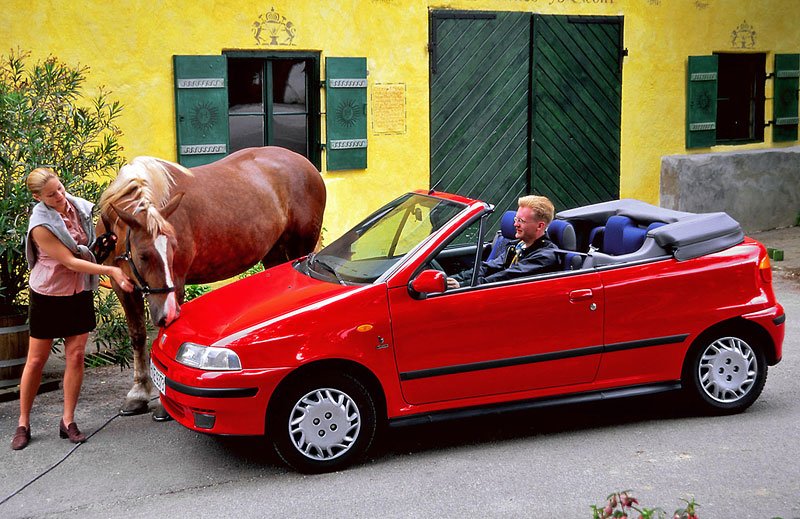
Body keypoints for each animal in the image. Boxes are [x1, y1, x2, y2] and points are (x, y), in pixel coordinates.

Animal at [97, 146, 324, 414]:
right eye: (143, 255)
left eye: (174, 248)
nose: (167, 312)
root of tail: (306, 164)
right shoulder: (123, 287)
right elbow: (137, 335)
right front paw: (139, 392)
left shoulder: (177, 285)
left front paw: (163, 401)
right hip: (274, 254)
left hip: (301, 245)